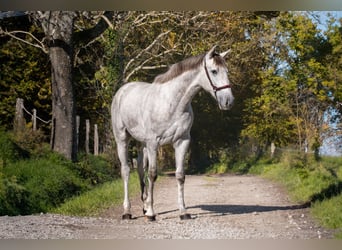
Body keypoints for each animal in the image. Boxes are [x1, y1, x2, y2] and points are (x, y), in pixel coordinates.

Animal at [111, 45, 234, 221]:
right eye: (214, 71)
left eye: (227, 71)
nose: (228, 102)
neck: (172, 103)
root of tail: (122, 91)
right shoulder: (153, 143)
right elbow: (153, 174)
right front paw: (152, 213)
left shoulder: (181, 142)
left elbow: (180, 175)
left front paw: (183, 212)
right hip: (122, 139)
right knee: (126, 170)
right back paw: (127, 211)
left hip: (143, 143)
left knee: (140, 168)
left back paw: (144, 205)